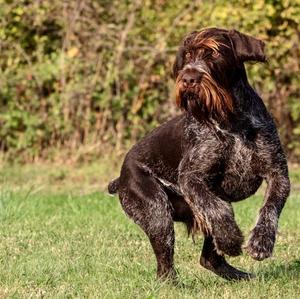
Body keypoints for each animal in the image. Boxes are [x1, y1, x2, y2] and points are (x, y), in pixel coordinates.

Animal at [108, 27, 290, 282]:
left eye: (213, 53)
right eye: (187, 55)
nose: (188, 79)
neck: (230, 119)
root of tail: (122, 175)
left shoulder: (278, 173)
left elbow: (270, 208)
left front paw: (261, 242)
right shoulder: (191, 177)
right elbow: (217, 210)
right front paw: (230, 238)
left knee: (209, 258)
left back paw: (242, 276)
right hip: (156, 212)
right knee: (165, 265)